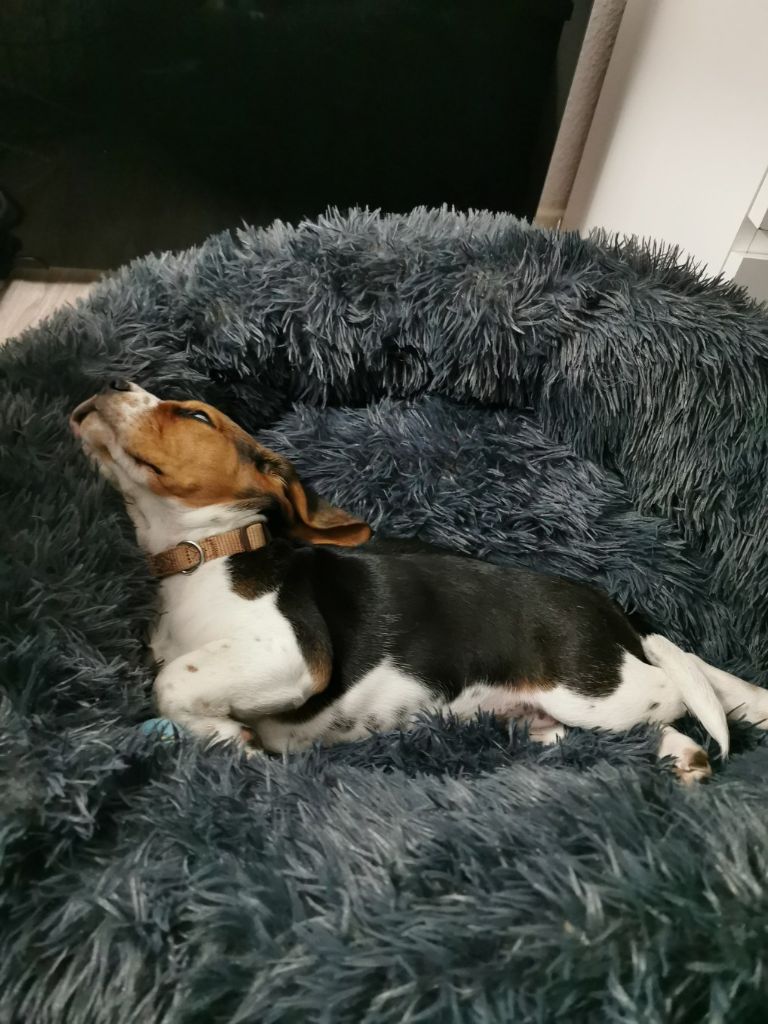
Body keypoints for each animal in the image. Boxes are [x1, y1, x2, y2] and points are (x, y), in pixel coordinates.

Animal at [70, 380, 768, 781]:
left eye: (196, 416)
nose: (109, 383)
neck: (201, 555)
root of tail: (615, 610)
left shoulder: (289, 653)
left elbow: (171, 682)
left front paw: (228, 739)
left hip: (596, 690)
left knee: (680, 683)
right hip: (568, 717)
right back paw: (680, 755)